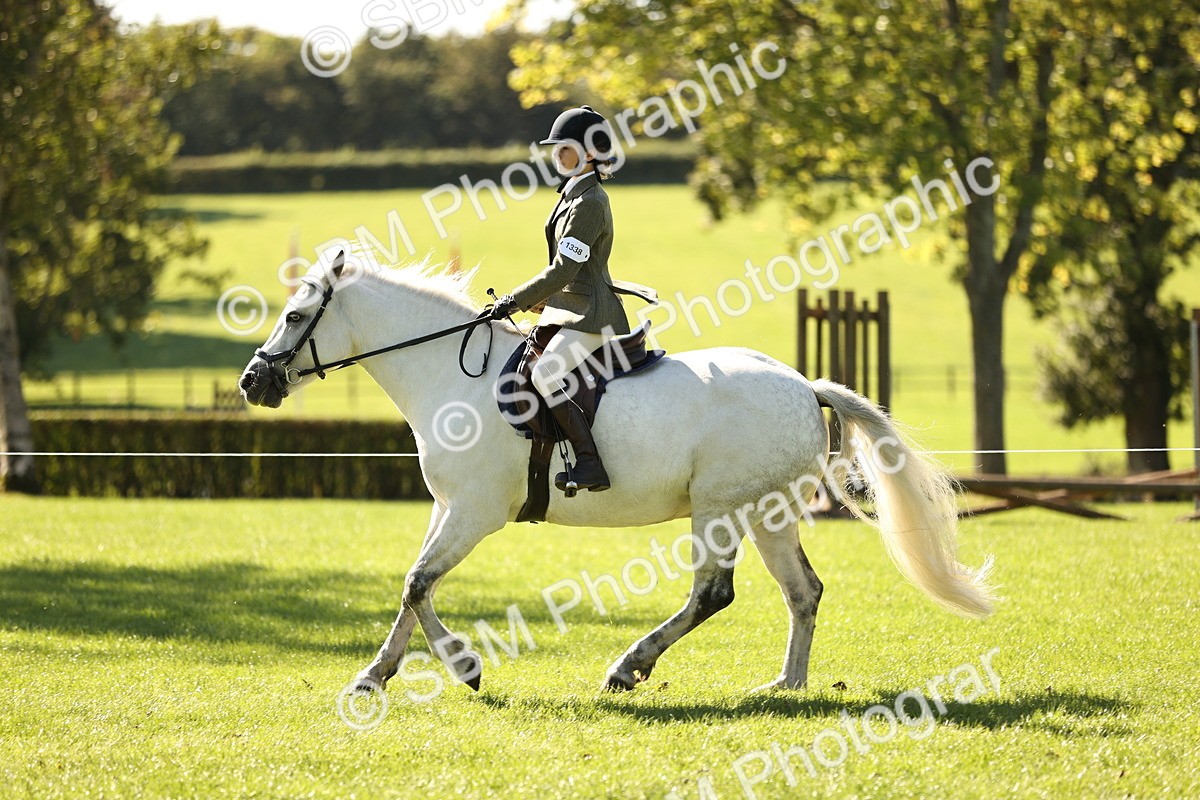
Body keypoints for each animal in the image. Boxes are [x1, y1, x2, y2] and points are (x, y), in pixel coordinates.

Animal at [238, 251, 995, 695]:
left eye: (297, 315)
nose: (253, 382)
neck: (451, 376)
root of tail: (805, 386)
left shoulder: (476, 512)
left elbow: (419, 584)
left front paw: (465, 666)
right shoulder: (446, 507)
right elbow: (410, 588)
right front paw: (373, 677)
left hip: (718, 509)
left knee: (713, 593)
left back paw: (630, 666)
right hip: (766, 511)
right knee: (802, 591)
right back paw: (785, 684)